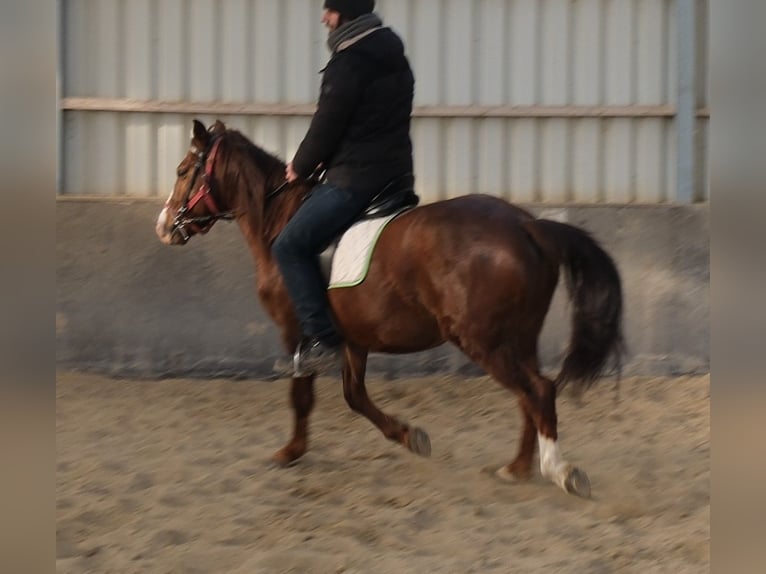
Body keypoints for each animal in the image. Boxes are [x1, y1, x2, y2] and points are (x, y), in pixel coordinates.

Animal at [155, 119, 624, 498]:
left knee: (538, 391)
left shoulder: (296, 332)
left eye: (181, 171)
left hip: (483, 340)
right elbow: (355, 396)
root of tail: (527, 225)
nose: (164, 227)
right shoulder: (353, 339)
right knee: (530, 393)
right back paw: (517, 468)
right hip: (517, 337)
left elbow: (302, 395)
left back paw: (559, 471)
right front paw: (410, 435)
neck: (279, 220)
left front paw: (290, 452)